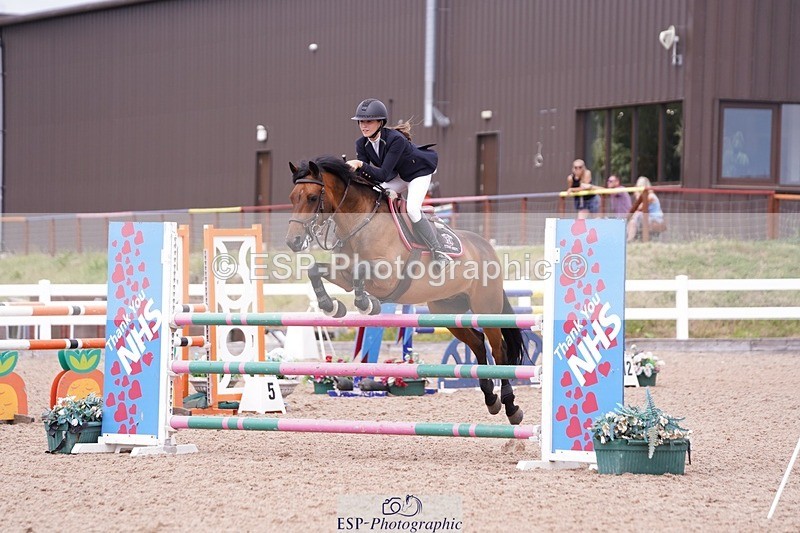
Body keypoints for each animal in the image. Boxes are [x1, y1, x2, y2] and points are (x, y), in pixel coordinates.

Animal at [286, 155, 525, 424]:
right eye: (293, 197)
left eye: (312, 197)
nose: (293, 242)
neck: (359, 223)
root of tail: (487, 248)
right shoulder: (343, 275)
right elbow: (316, 270)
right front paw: (332, 307)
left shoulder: (387, 275)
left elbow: (361, 272)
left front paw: (367, 303)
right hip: (447, 311)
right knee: (477, 343)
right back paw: (491, 400)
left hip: (486, 308)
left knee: (499, 350)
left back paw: (511, 407)